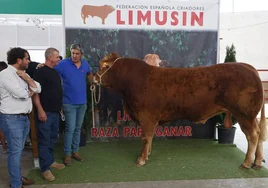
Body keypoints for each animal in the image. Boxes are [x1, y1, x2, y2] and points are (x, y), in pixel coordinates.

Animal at [93, 53, 266, 169]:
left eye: (104, 66)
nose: (93, 77)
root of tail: (247, 66)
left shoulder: (147, 116)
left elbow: (146, 137)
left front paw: (141, 159)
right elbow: (150, 138)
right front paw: (147, 154)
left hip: (245, 114)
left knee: (253, 135)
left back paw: (246, 163)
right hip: (250, 116)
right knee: (259, 133)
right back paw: (257, 162)